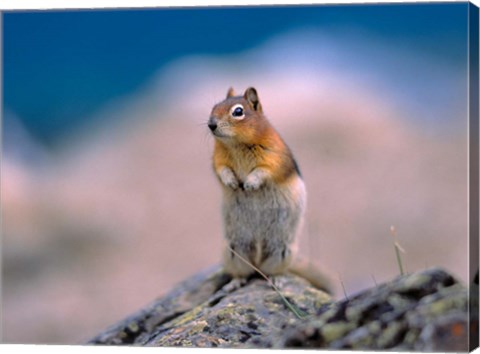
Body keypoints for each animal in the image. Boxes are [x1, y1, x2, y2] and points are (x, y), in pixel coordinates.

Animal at [208, 87, 332, 292]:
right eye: (214, 106)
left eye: (238, 111)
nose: (211, 124)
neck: (236, 144)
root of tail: (258, 261)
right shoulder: (218, 158)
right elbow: (221, 170)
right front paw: (231, 182)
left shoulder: (273, 157)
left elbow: (264, 171)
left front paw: (249, 184)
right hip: (233, 249)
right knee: (245, 272)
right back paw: (235, 283)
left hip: (281, 250)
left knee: (270, 271)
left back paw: (276, 280)